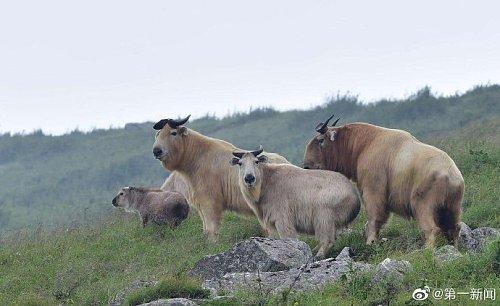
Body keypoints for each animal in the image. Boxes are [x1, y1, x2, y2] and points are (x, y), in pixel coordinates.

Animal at [230, 148, 360, 258]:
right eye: (240, 163)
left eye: (256, 162)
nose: (249, 178)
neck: (266, 182)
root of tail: (355, 197)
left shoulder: (282, 218)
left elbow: (288, 236)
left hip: (323, 215)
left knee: (328, 240)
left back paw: (318, 255)